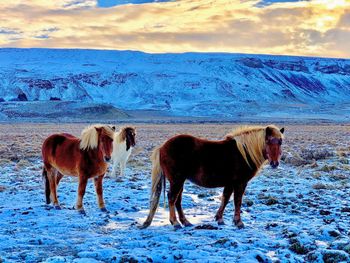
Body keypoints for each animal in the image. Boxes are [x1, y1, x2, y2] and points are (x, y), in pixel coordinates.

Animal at [140, 125, 284, 230]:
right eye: (268, 141)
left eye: (280, 142)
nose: (275, 163)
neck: (244, 152)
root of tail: (162, 147)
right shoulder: (240, 183)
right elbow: (237, 201)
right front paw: (238, 222)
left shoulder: (230, 183)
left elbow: (225, 199)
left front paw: (219, 219)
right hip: (177, 180)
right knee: (172, 198)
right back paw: (175, 223)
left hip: (179, 181)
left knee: (177, 200)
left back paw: (185, 222)